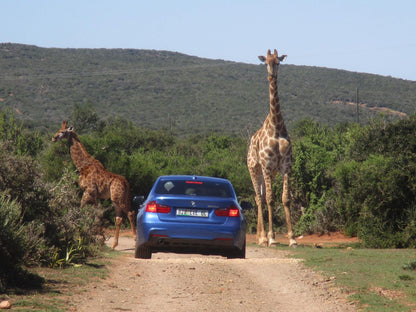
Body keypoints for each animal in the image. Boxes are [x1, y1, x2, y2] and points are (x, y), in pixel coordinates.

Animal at [52, 120, 136, 250]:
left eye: (62, 132)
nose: (53, 138)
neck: (82, 165)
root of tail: (126, 183)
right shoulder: (95, 195)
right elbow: (97, 215)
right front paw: (99, 238)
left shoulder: (88, 192)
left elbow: (82, 211)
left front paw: (79, 234)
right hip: (115, 199)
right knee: (119, 218)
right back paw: (113, 245)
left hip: (119, 198)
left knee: (130, 213)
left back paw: (135, 240)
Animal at [245, 49, 298, 246]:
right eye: (265, 62)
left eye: (278, 62)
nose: (271, 76)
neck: (276, 127)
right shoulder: (267, 165)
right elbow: (270, 199)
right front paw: (272, 237)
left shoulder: (285, 166)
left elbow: (285, 199)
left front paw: (292, 238)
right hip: (254, 168)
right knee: (259, 198)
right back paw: (262, 237)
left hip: (269, 172)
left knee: (259, 196)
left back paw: (261, 236)